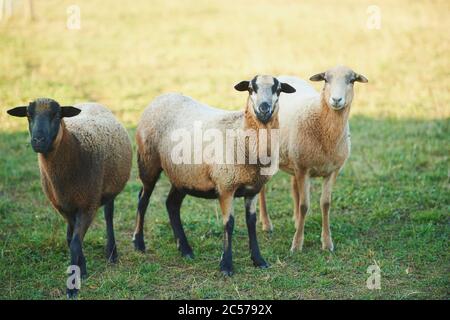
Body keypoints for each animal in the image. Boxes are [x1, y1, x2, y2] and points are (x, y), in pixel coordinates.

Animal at [6, 99, 132, 298]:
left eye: (57, 115)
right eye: (28, 115)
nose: (38, 141)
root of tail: (91, 102)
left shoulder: (88, 205)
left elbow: (74, 243)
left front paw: (73, 286)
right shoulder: (62, 206)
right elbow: (70, 239)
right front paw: (82, 269)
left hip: (109, 189)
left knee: (109, 216)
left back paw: (112, 253)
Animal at [133, 75, 296, 276]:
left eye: (278, 89)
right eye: (251, 88)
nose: (264, 109)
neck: (241, 134)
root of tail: (160, 97)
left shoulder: (253, 189)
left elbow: (251, 222)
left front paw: (258, 260)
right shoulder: (226, 186)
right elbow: (229, 224)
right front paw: (226, 265)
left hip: (182, 175)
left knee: (171, 204)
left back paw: (185, 249)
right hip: (148, 162)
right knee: (143, 199)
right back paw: (139, 243)